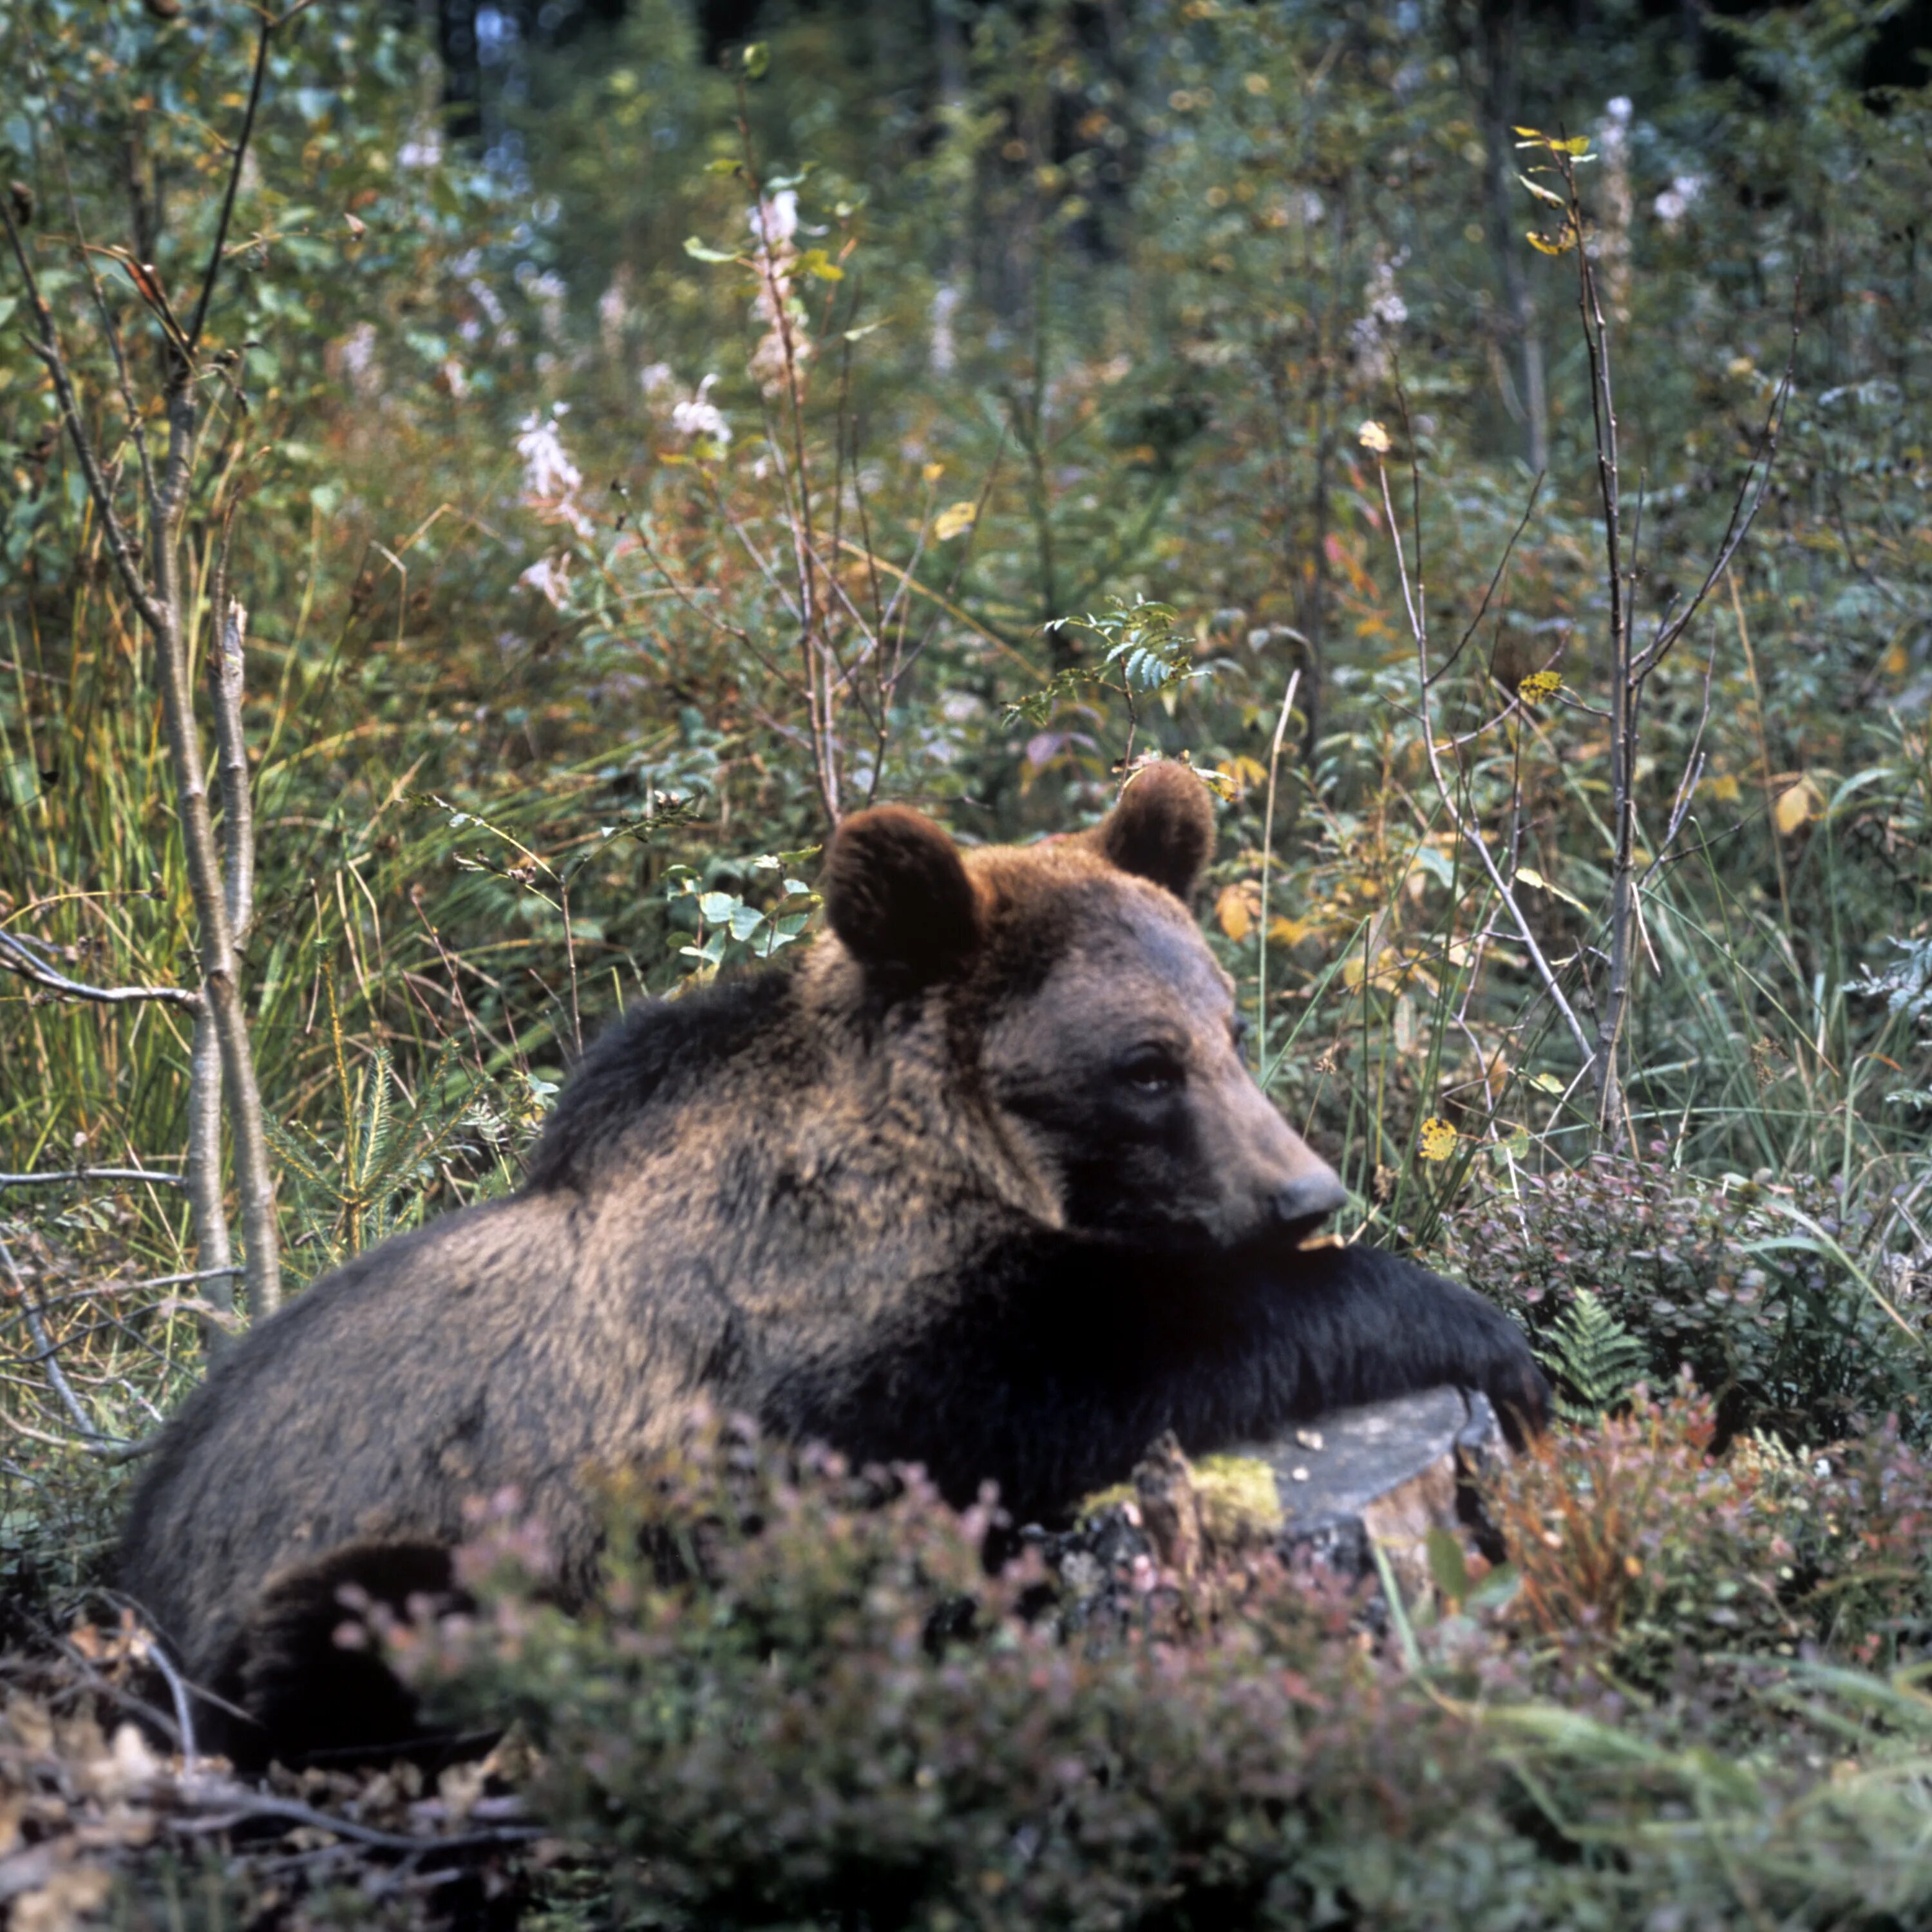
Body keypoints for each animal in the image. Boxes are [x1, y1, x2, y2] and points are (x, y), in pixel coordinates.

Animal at [113, 761, 1546, 1762]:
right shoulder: (832, 1331)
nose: (1304, 1190)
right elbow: (1094, 1364)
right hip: (359, 1574)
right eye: (1146, 1064)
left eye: (1229, 1030)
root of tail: (135, 1580)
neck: (940, 1138)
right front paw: (1481, 1332)